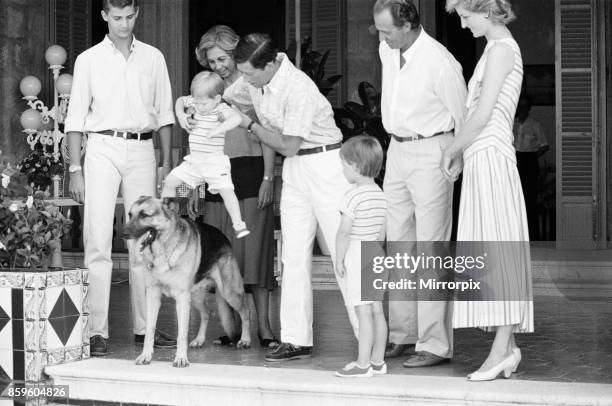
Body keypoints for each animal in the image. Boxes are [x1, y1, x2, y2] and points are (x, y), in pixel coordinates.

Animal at [123, 197, 250, 368]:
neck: (164, 250)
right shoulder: (153, 295)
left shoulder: (182, 298)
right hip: (195, 296)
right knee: (207, 312)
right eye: (130, 215)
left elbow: (182, 333)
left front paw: (181, 358)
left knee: (245, 311)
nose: (123, 233)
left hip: (229, 292)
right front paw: (145, 356)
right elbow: (149, 329)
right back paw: (199, 339)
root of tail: (223, 237)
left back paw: (245, 339)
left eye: (144, 215)